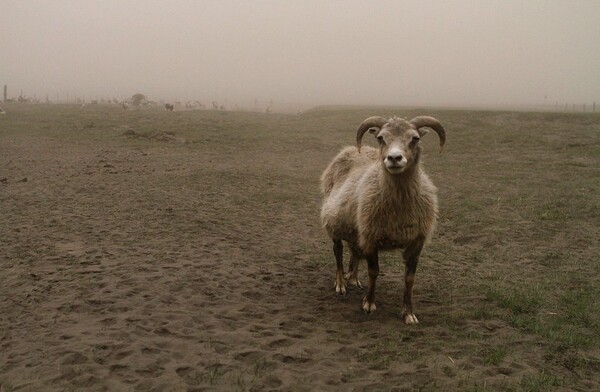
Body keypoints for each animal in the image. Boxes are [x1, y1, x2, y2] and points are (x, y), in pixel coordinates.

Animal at [322, 115, 448, 324]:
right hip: (334, 224)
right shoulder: (371, 238)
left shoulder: (416, 241)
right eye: (381, 138)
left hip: (356, 228)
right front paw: (369, 303)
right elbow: (374, 272)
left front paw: (408, 313)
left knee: (354, 251)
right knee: (338, 252)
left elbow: (410, 279)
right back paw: (341, 283)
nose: (394, 158)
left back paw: (353, 278)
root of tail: (351, 149)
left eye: (415, 139)